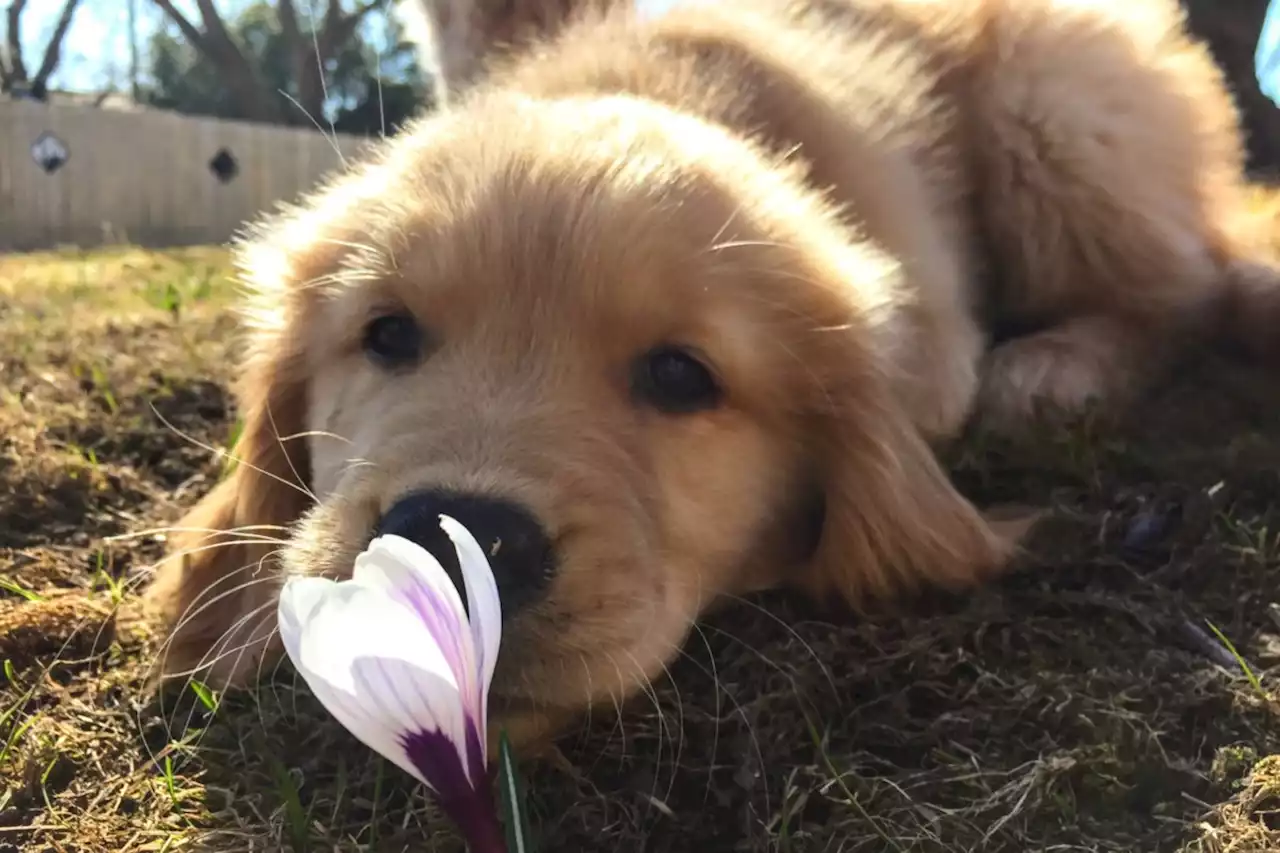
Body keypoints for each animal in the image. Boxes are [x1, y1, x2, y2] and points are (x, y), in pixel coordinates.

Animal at [147, 0, 1280, 742]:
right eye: (386, 334)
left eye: (680, 377)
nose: (448, 535)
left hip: (1056, 112)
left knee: (1181, 289)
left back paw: (1053, 366)